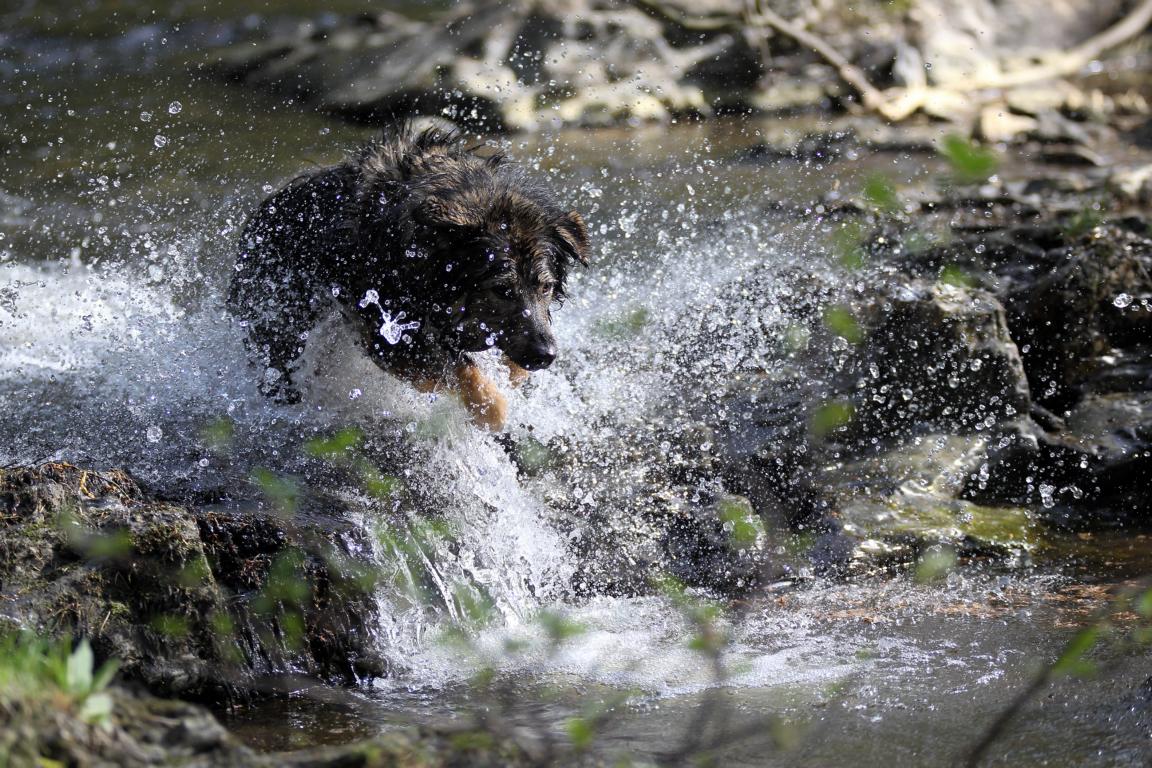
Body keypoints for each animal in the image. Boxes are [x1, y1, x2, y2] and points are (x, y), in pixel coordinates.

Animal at [225, 123, 589, 430]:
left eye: (546, 287)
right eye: (502, 290)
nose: (546, 356)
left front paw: (513, 376)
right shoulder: (384, 327)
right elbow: (459, 369)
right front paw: (489, 408)